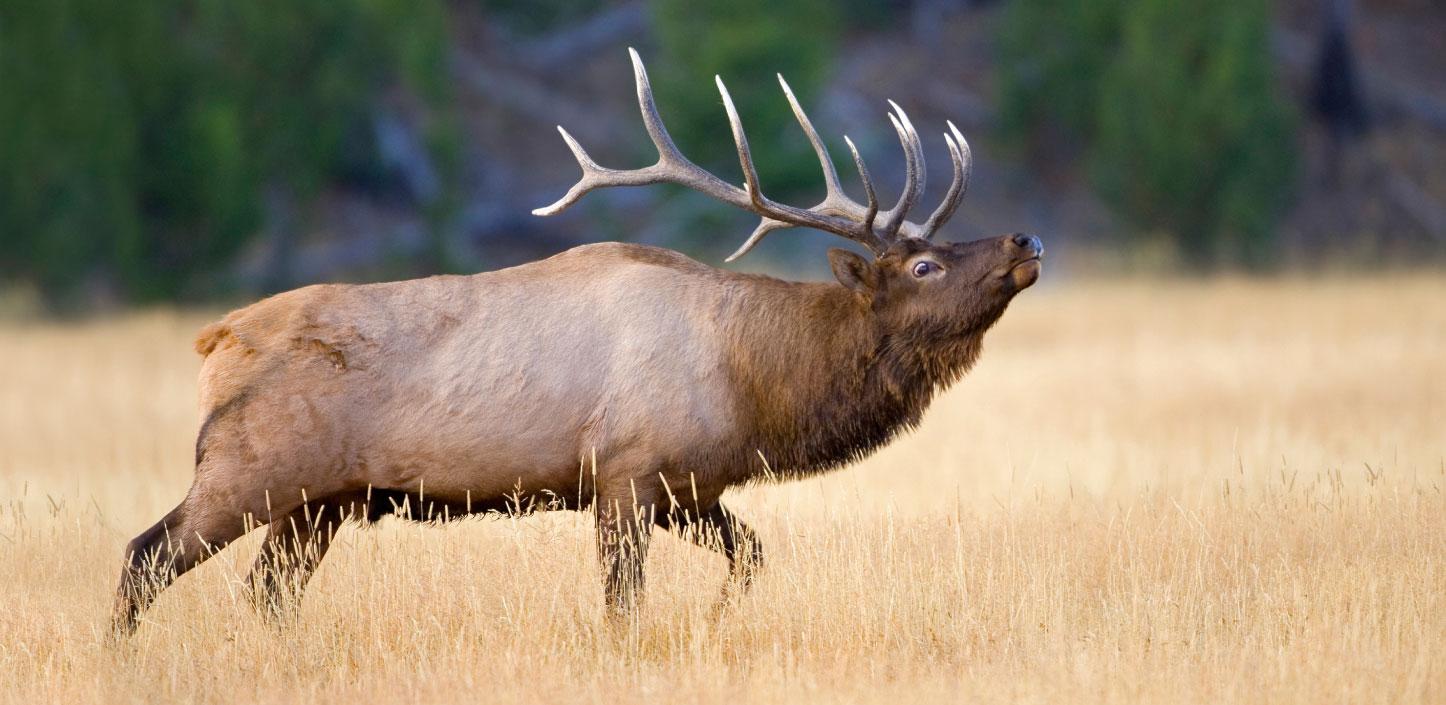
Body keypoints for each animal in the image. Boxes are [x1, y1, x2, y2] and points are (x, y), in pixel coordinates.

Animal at [112, 49, 1041, 632]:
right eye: (922, 263)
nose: (1024, 240)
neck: (756, 383)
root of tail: (215, 338)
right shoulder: (626, 474)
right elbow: (622, 606)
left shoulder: (691, 487)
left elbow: (752, 557)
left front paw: (719, 621)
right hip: (245, 469)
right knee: (143, 555)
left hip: (319, 501)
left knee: (266, 595)